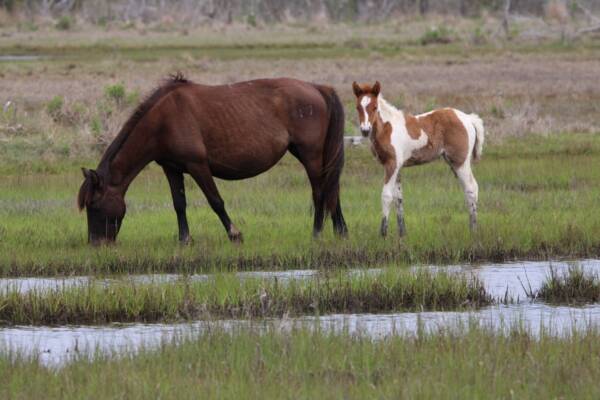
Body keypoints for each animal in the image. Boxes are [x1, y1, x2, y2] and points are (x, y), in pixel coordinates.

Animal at [77, 74, 346, 244]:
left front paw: (235, 234)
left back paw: (317, 233)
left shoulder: (198, 165)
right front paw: (185, 239)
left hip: (310, 154)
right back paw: (340, 230)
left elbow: (215, 201)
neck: (163, 120)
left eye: (94, 205)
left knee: (320, 191)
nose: (96, 243)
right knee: (331, 188)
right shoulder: (171, 169)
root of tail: (317, 88)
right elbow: (179, 204)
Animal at [352, 82, 488, 236]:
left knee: (471, 189)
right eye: (358, 107)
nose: (365, 130)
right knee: (470, 189)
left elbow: (386, 196)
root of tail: (468, 118)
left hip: (460, 162)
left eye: (374, 107)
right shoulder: (398, 167)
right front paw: (402, 234)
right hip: (453, 163)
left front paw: (383, 234)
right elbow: (398, 198)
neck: (387, 128)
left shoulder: (391, 164)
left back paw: (473, 231)